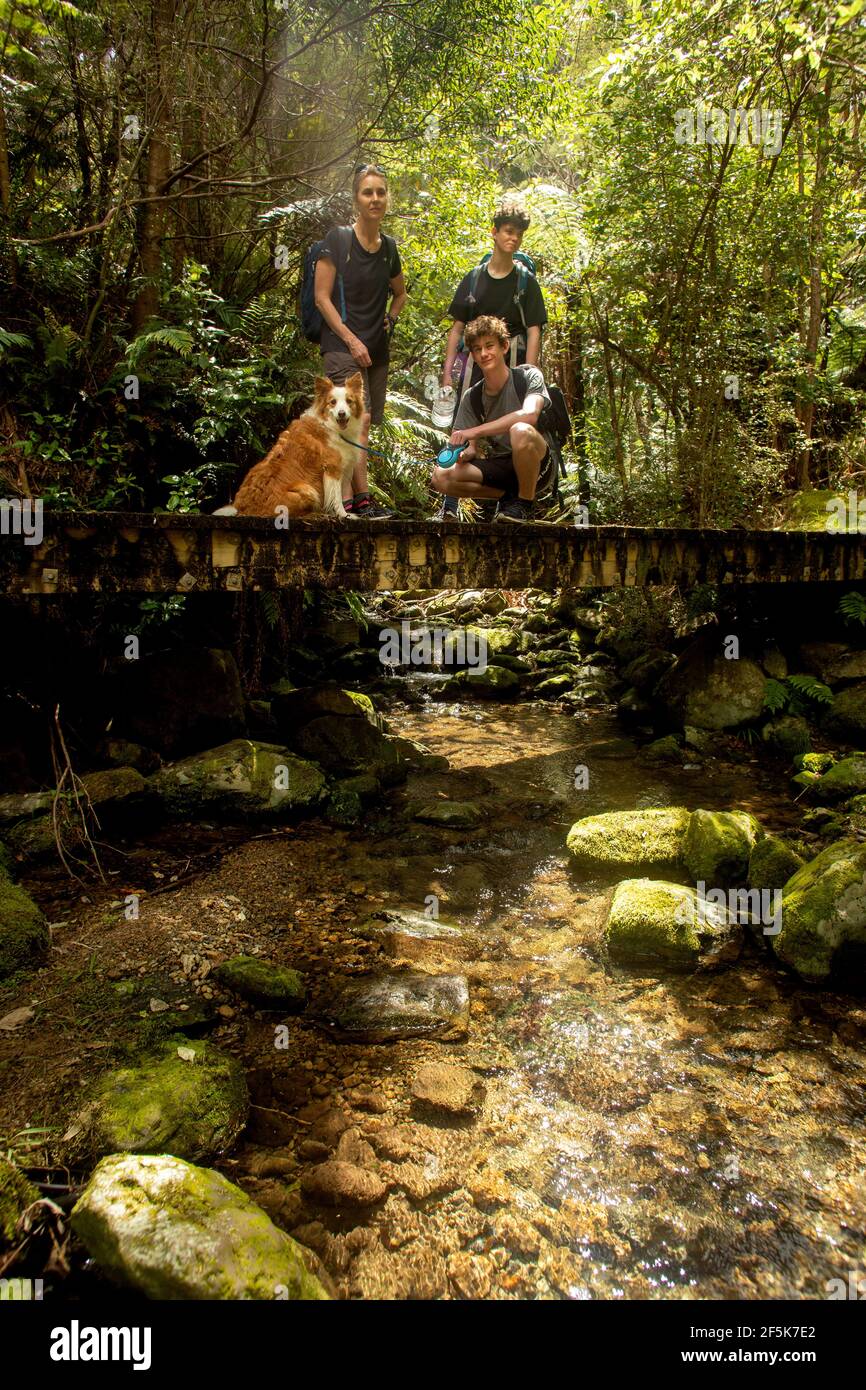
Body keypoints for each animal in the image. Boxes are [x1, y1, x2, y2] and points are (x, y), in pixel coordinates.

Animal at [218, 372, 366, 519]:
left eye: (349, 401)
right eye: (333, 402)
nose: (341, 413)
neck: (330, 426)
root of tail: (241, 510)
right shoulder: (332, 467)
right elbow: (337, 498)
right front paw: (344, 515)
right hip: (308, 490)